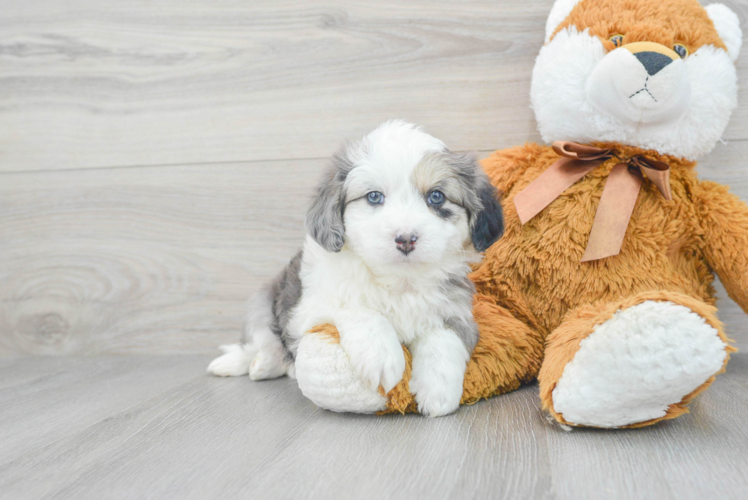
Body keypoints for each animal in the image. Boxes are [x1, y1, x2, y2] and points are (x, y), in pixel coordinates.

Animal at [207, 119, 506, 416]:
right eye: (373, 197)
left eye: (436, 197)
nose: (405, 239)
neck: (398, 280)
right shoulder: (308, 306)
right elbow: (359, 308)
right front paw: (382, 357)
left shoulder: (456, 312)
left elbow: (445, 341)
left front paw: (438, 391)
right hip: (263, 302)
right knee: (261, 343)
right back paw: (248, 364)